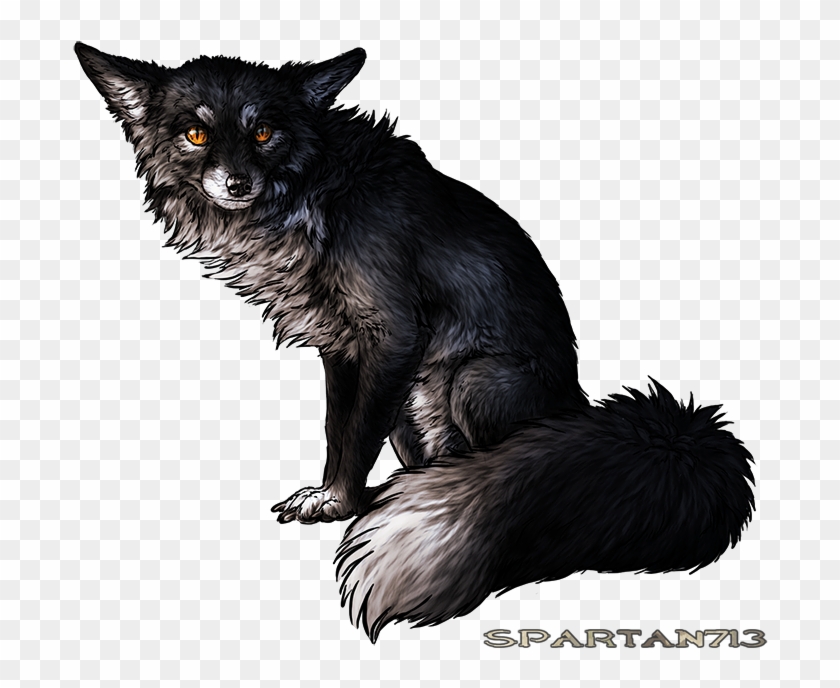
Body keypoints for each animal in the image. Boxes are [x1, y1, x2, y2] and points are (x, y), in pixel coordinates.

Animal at [75, 42, 755, 642]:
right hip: (411, 408)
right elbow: (338, 429)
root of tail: (583, 411)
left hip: (470, 380)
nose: (238, 182)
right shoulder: (342, 348)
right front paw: (335, 495)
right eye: (196, 134)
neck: (313, 197)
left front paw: (338, 506)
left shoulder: (394, 334)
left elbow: (354, 439)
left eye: (264, 132)